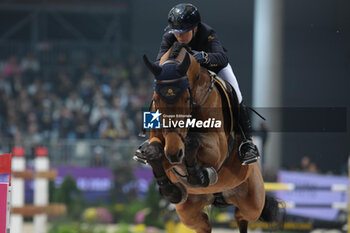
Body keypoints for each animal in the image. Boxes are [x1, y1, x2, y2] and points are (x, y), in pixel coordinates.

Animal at [138, 42, 280, 233]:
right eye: (156, 99)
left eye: (186, 99)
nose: (175, 153)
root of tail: (218, 197)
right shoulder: (162, 142)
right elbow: (153, 153)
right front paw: (171, 190)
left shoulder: (217, 148)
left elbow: (193, 141)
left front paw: (199, 175)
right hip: (189, 213)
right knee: (204, 224)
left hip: (252, 202)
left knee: (242, 217)